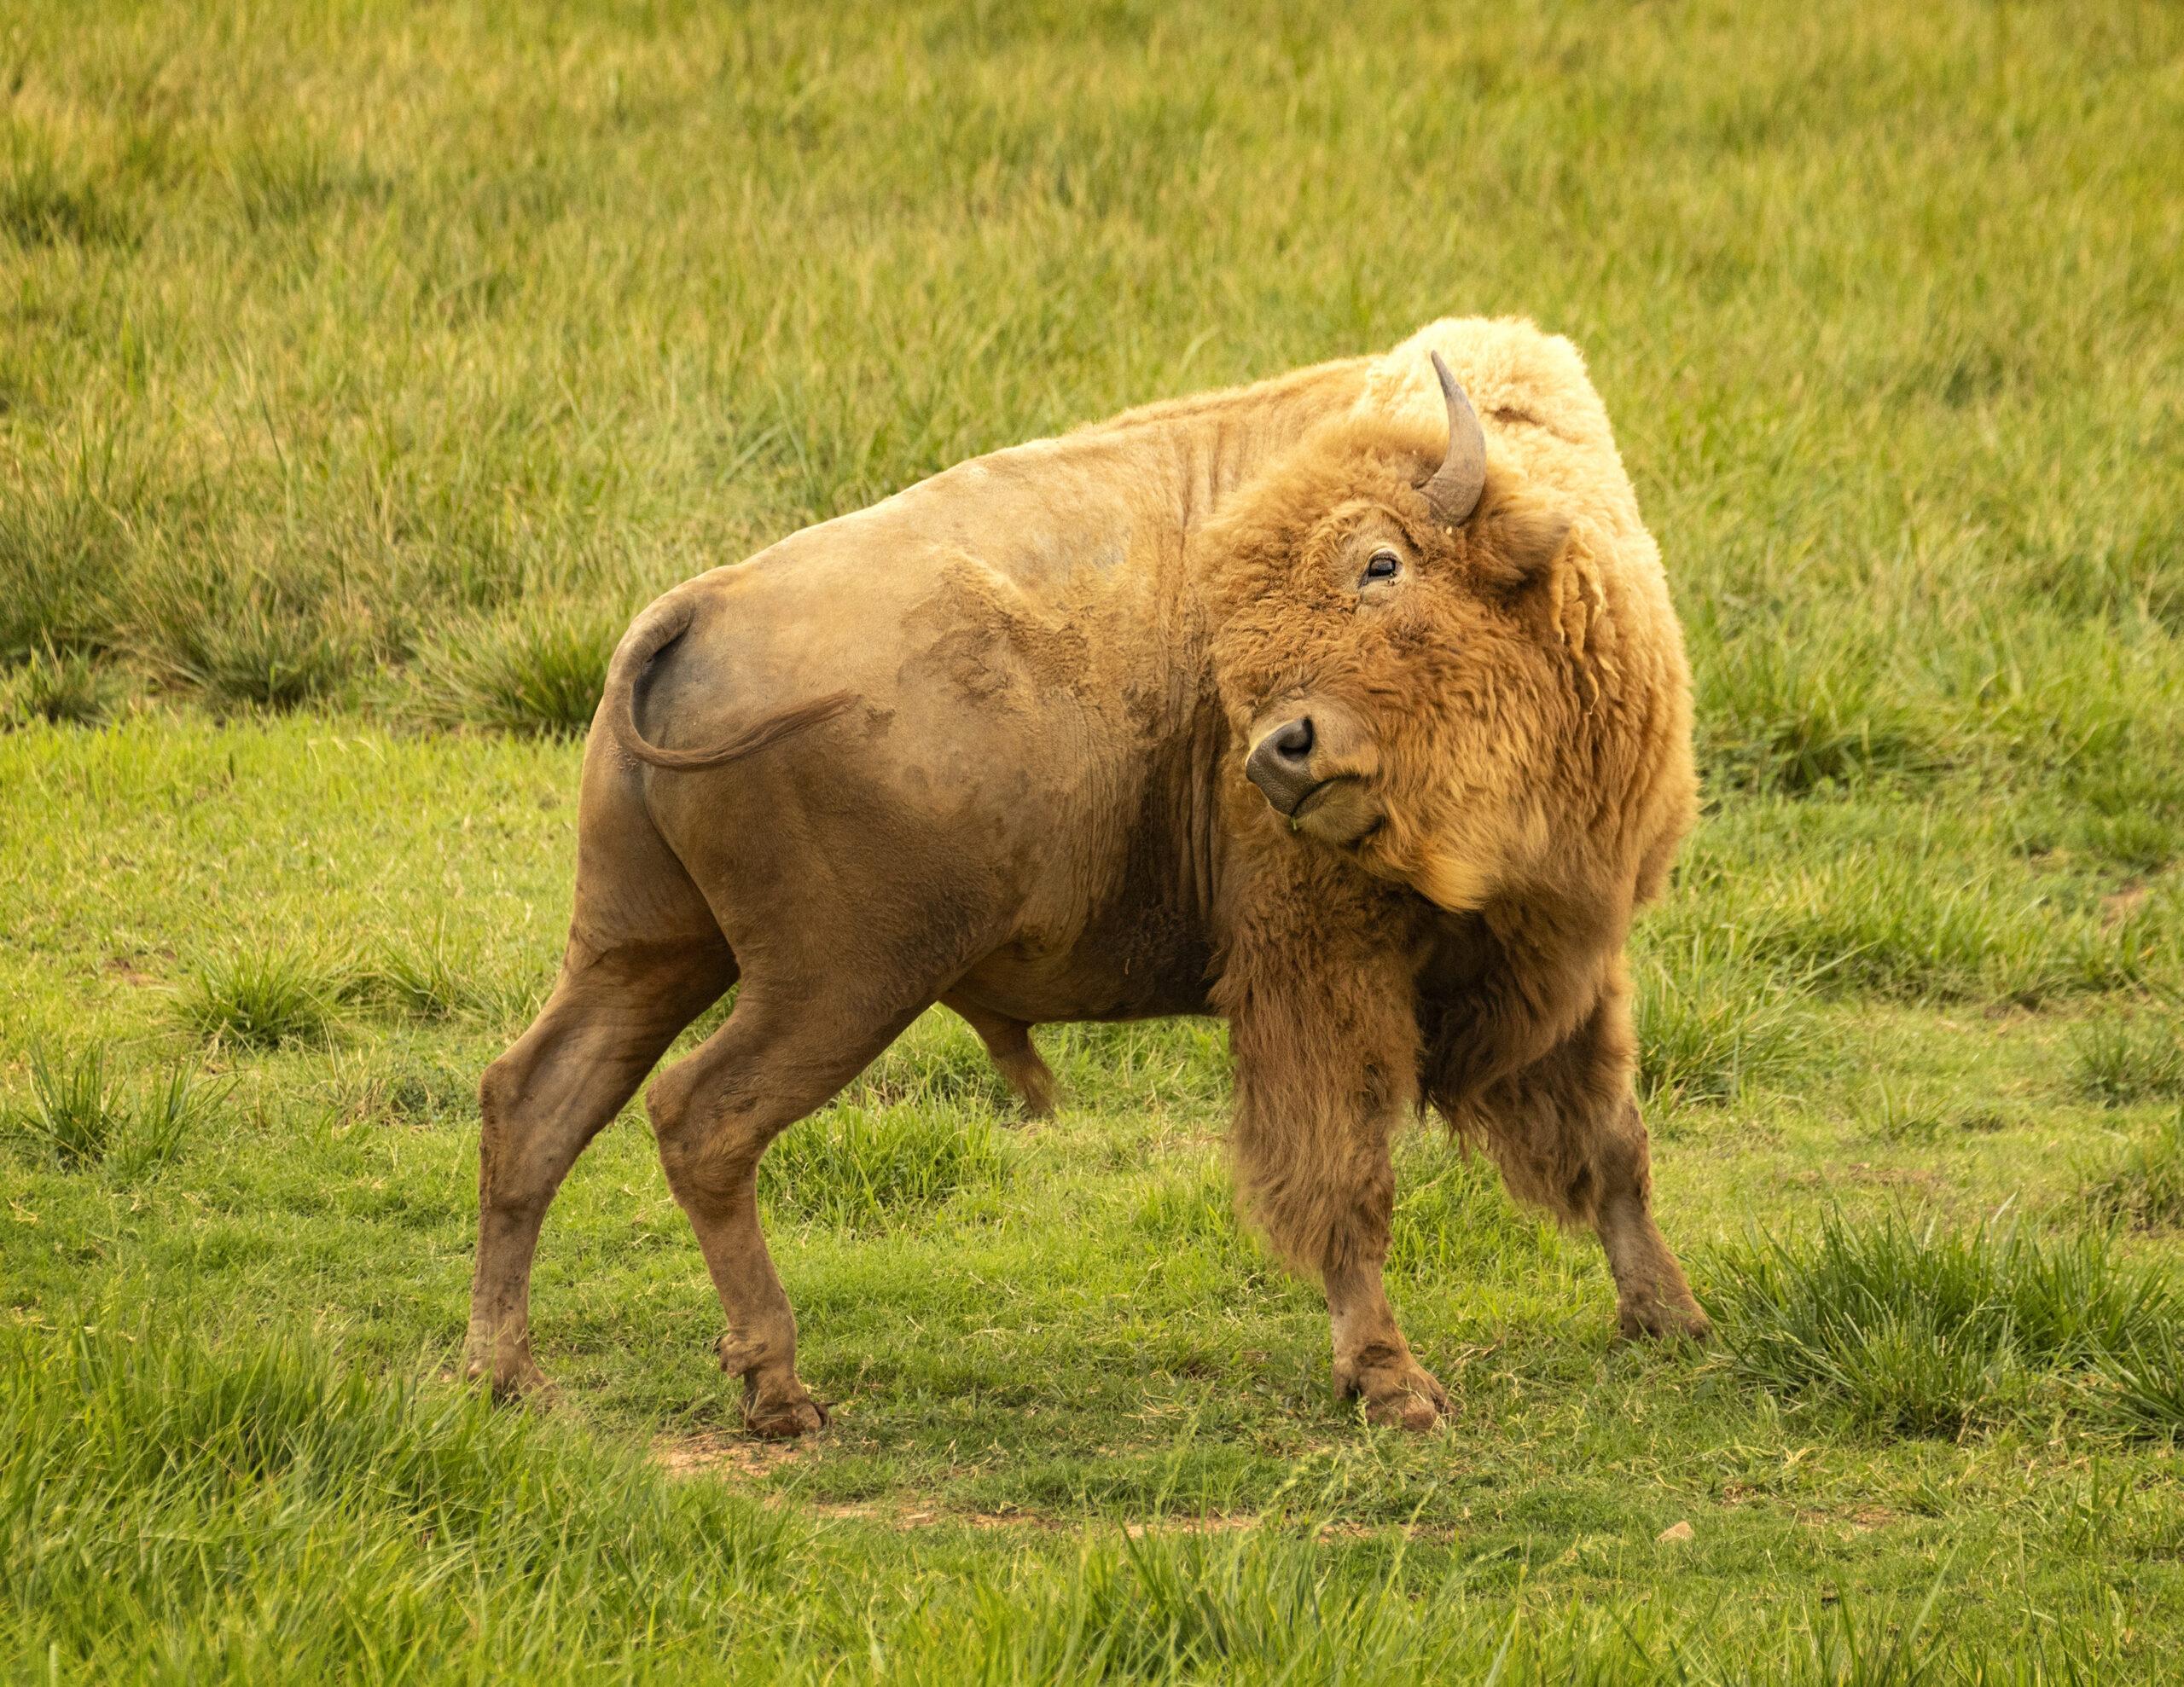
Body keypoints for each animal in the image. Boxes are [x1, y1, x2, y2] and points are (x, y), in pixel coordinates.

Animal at [469, 316, 1712, 1431]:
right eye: (1239, 633)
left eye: (1381, 561)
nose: (1278, 751)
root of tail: (696, 606)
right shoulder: (1325, 975)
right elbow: (1351, 1176)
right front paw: (1393, 1383)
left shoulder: (1569, 957)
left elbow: (1613, 1142)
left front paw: (1674, 1321)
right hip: (841, 981)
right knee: (700, 1118)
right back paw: (777, 1391)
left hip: (647, 947)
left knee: (537, 1100)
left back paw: (513, 1378)